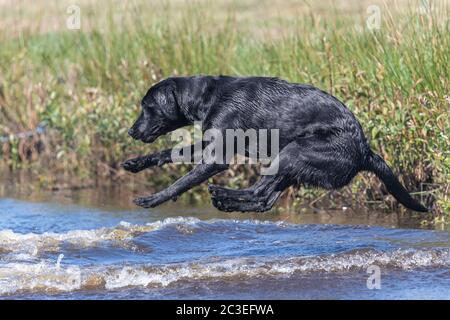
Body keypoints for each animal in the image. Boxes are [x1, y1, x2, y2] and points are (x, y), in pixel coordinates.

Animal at [121, 75, 428, 212]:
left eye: (147, 107)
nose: (131, 131)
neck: (208, 96)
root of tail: (365, 150)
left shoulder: (217, 157)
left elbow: (180, 182)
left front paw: (152, 199)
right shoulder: (209, 141)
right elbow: (168, 152)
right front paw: (136, 163)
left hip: (294, 152)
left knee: (260, 193)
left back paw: (222, 195)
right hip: (291, 163)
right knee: (265, 199)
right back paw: (228, 202)